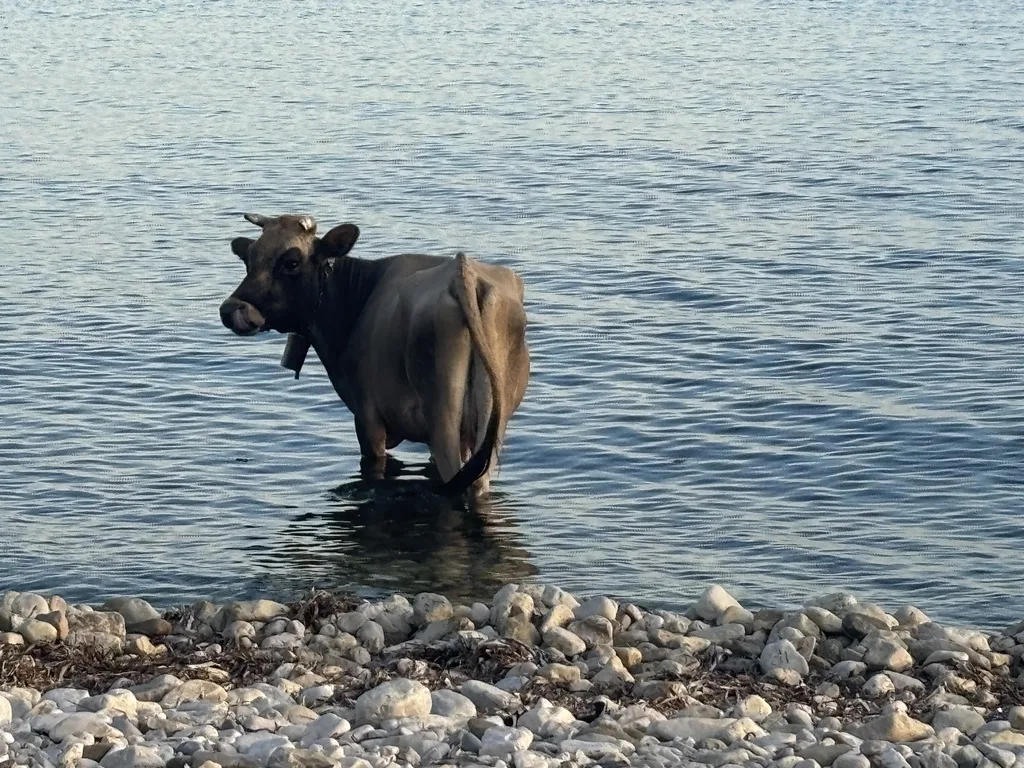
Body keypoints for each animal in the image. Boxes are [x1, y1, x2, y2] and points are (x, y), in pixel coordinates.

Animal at [218, 213, 530, 496]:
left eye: (291, 262)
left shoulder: (367, 418)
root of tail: (462, 270)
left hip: (443, 420)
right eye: (249, 259)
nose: (230, 310)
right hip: (490, 425)